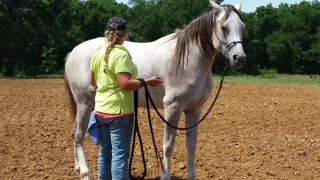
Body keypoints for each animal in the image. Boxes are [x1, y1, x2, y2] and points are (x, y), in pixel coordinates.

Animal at [63, 0, 246, 179]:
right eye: (224, 27)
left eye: (242, 27)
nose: (239, 58)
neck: (187, 61)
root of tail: (73, 52)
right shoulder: (173, 107)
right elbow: (168, 145)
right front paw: (165, 176)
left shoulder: (194, 110)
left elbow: (191, 145)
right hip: (85, 102)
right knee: (79, 133)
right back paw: (85, 173)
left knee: (74, 131)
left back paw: (77, 167)